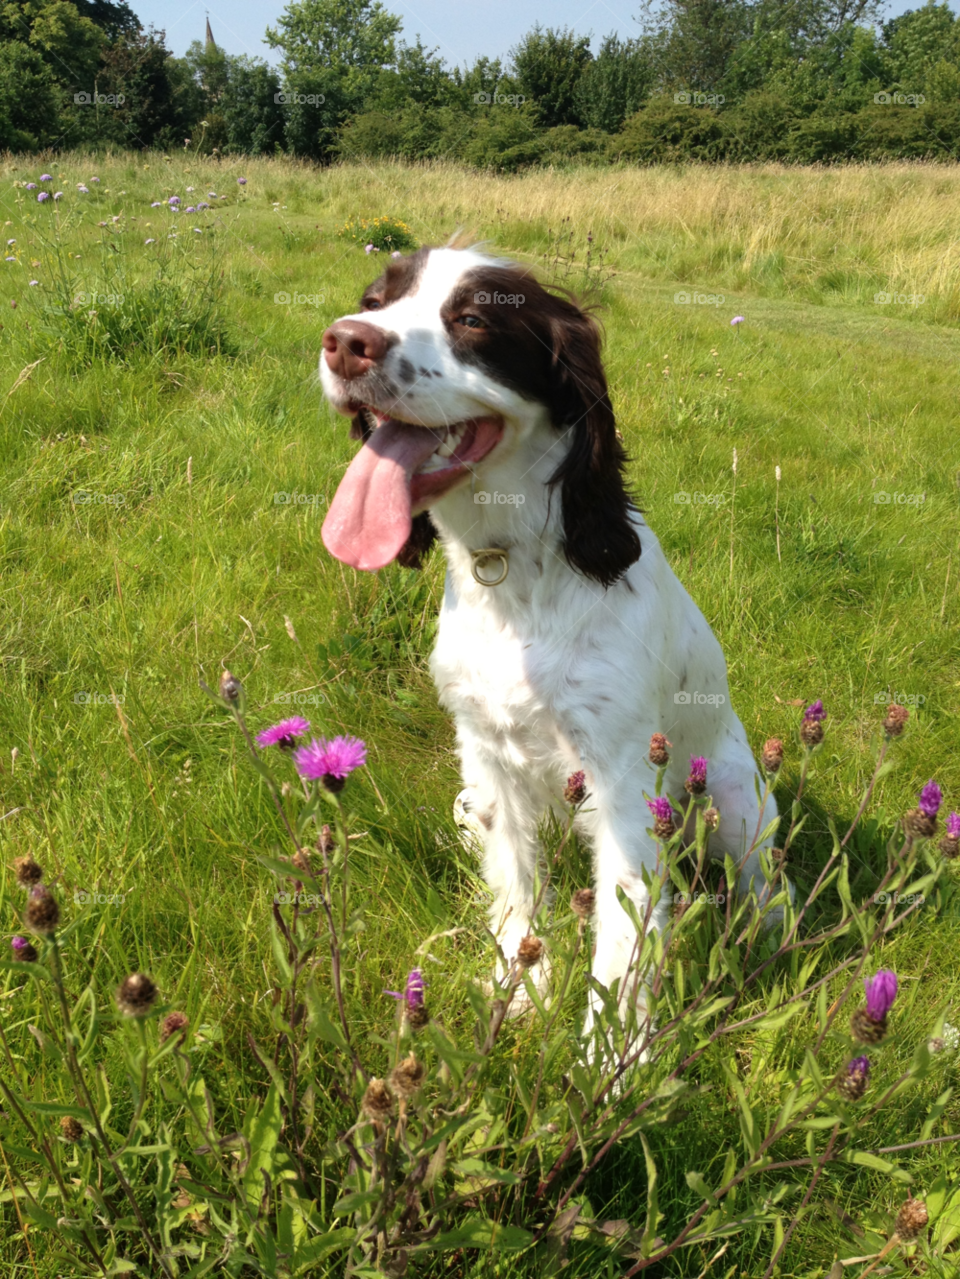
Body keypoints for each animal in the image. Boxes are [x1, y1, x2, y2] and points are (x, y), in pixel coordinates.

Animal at [320, 244, 782, 1033]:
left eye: (474, 319)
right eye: (374, 300)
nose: (346, 341)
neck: (515, 571)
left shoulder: (625, 780)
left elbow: (624, 937)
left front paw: (611, 1057)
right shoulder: (486, 754)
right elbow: (514, 887)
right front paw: (521, 985)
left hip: (735, 799)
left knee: (763, 886)